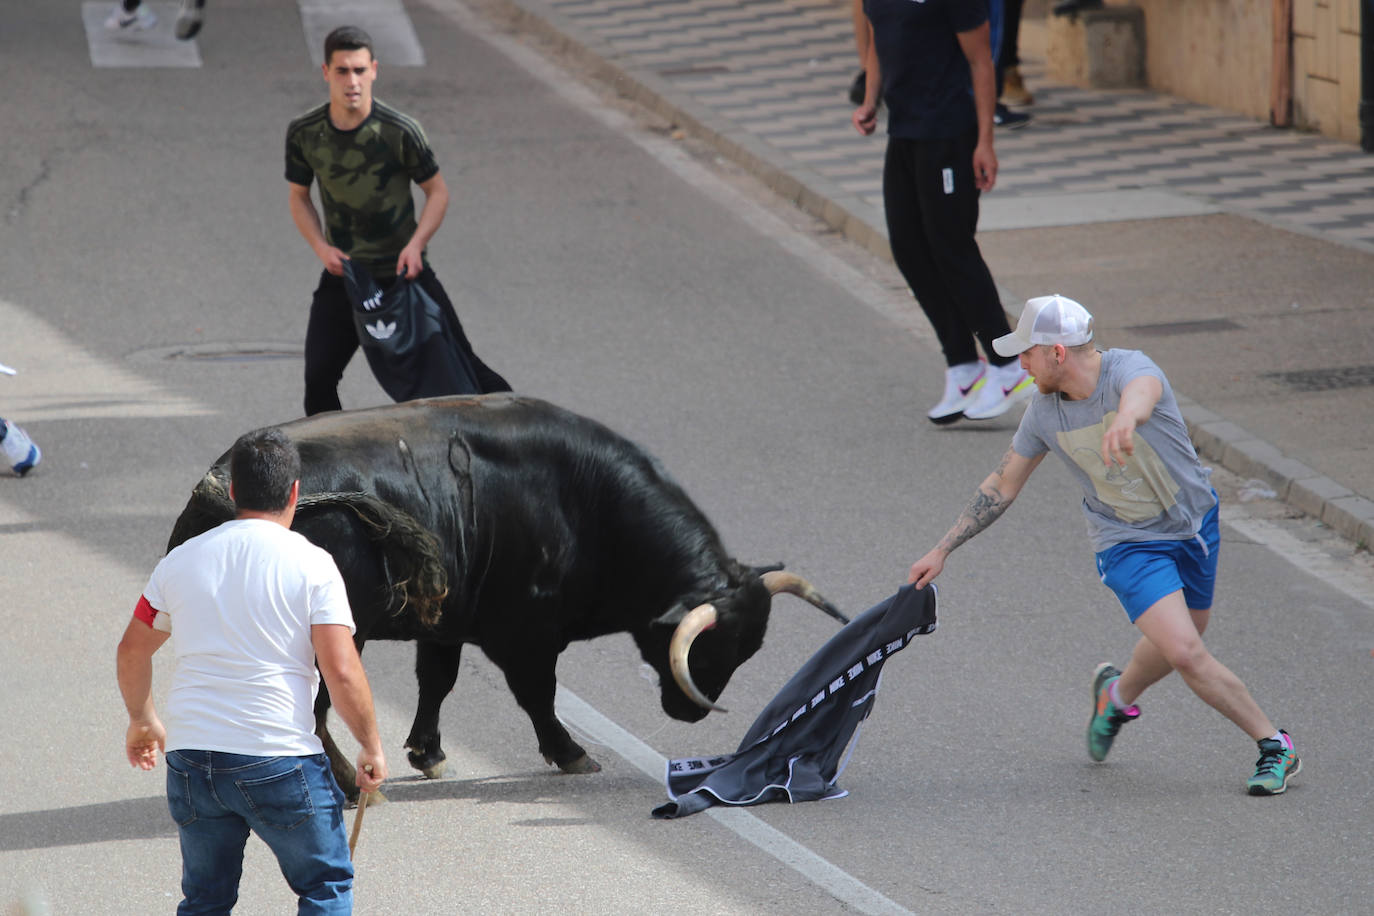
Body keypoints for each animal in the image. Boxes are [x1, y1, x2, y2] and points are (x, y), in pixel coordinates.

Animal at [164, 395, 840, 796]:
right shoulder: (525, 636)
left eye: (748, 649)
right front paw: (571, 753)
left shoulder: (447, 622)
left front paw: (429, 753)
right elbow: (538, 695)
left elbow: (437, 681)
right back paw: (351, 784)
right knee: (314, 709)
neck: (588, 504)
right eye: (708, 647)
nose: (693, 711)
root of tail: (221, 481)